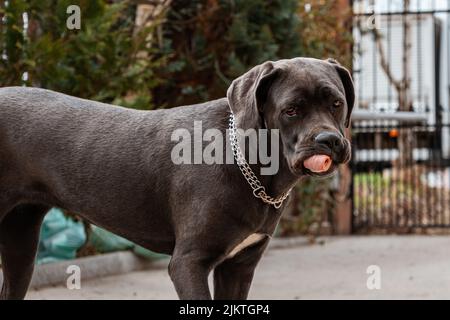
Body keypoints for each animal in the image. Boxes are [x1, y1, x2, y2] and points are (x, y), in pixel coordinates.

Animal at [0, 57, 352, 300]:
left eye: (336, 103)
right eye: (291, 110)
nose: (329, 140)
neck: (249, 165)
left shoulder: (239, 266)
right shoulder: (189, 262)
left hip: (21, 242)